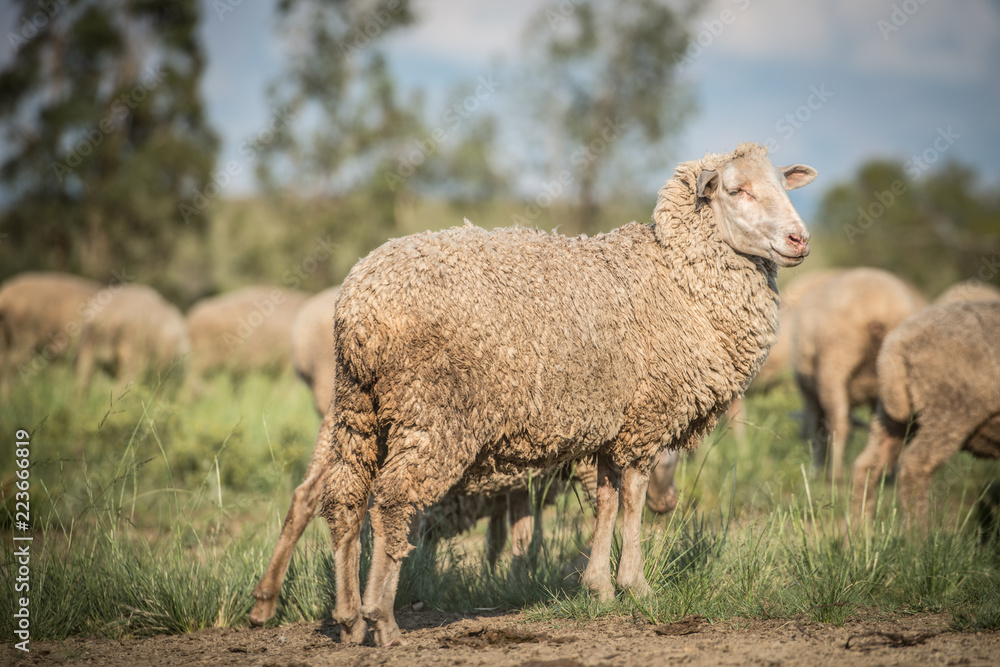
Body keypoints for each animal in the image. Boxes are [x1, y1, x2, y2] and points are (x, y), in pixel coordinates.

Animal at [251, 142, 817, 646]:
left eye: (782, 184)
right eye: (736, 189)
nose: (800, 239)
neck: (678, 279)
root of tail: (360, 306)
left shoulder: (607, 425)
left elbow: (606, 502)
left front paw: (598, 588)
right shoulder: (645, 418)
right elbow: (631, 500)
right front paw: (636, 586)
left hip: (358, 408)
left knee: (342, 500)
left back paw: (347, 619)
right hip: (431, 413)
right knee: (391, 502)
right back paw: (382, 621)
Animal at [792, 268, 927, 482]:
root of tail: (880, 309)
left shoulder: (810, 395)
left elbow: (818, 431)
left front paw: (817, 469)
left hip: (835, 362)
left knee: (839, 424)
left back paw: (836, 474)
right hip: (890, 378)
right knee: (880, 429)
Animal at [851, 300, 1000, 526]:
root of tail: (896, 343)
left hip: (892, 414)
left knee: (868, 465)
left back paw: (860, 530)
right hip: (950, 408)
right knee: (916, 466)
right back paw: (919, 533)